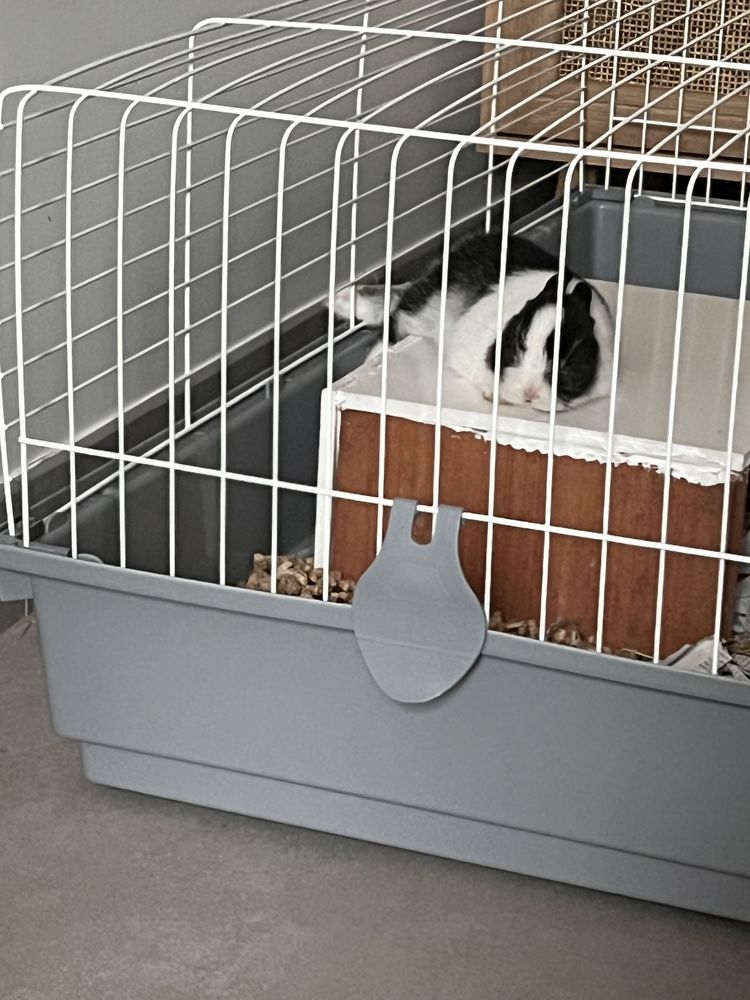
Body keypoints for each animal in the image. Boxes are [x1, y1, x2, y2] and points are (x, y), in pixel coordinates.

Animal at [333, 226, 614, 411]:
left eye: (568, 363)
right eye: (517, 346)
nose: (529, 394)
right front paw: (495, 395)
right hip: (426, 305)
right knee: (395, 318)